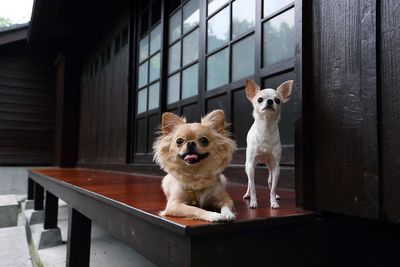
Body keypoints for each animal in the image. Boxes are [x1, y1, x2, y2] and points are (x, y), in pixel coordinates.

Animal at [242, 79, 292, 209]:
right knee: (249, 182)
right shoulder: (250, 165)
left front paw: (273, 202)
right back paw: (247, 195)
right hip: (248, 166)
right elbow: (253, 187)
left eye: (277, 100)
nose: (270, 101)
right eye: (260, 99)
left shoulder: (276, 167)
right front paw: (253, 202)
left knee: (270, 181)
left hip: (270, 167)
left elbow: (273, 187)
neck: (266, 127)